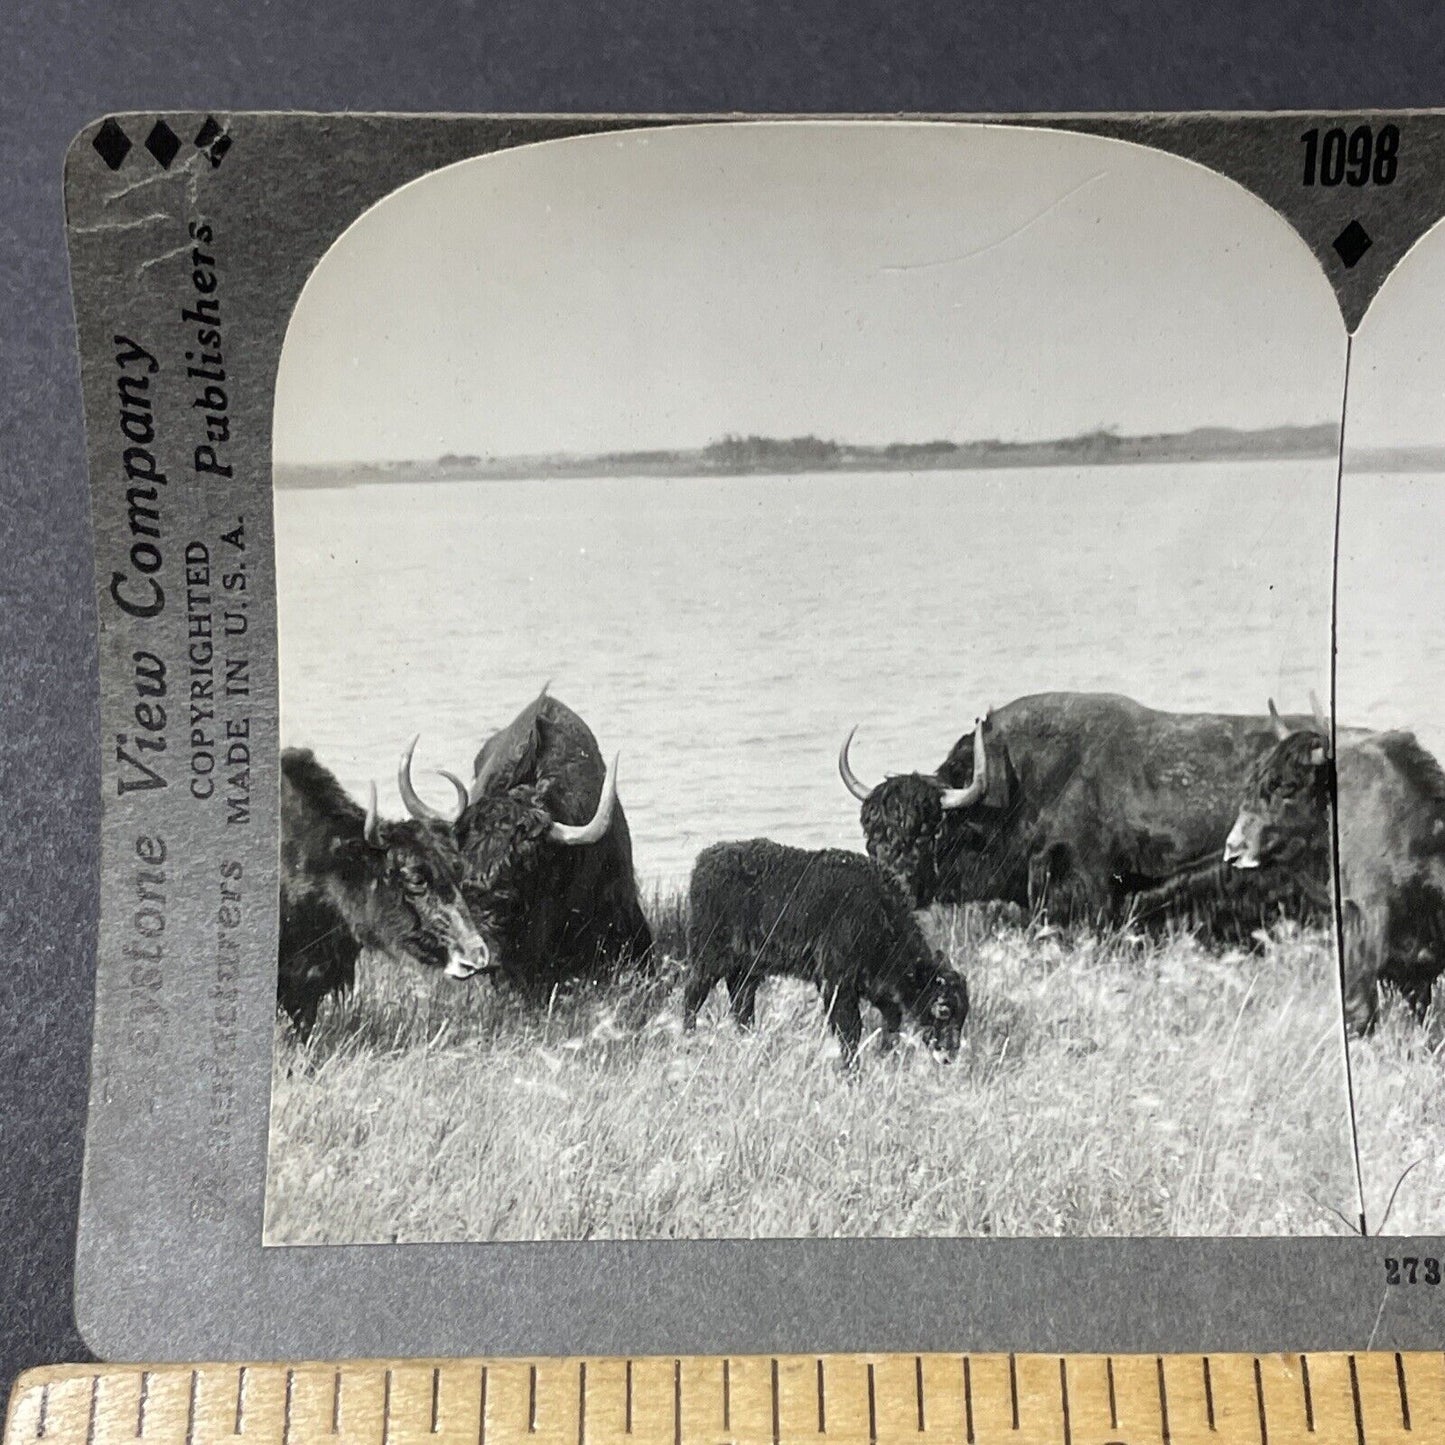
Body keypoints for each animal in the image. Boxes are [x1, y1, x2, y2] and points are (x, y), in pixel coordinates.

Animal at [679, 843, 971, 1069]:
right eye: (943, 1009)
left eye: (964, 1011)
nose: (949, 1055)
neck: (880, 911)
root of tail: (704, 861)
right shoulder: (837, 984)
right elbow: (850, 1031)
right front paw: (852, 1073)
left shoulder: (875, 987)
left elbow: (891, 1023)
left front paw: (884, 1058)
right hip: (708, 958)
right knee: (693, 996)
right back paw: (688, 1041)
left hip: (747, 970)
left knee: (741, 1004)